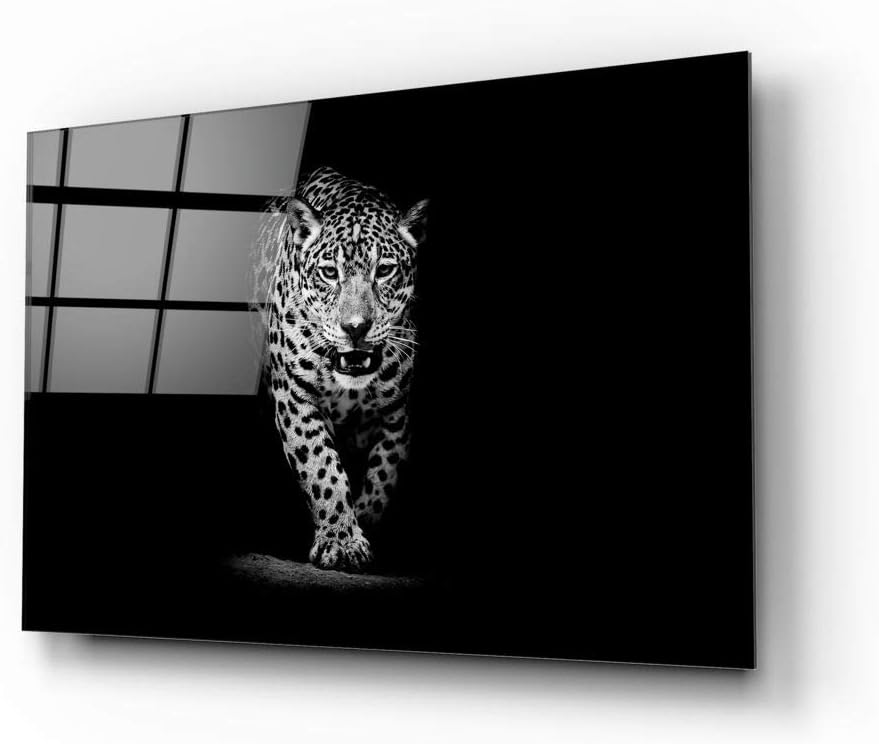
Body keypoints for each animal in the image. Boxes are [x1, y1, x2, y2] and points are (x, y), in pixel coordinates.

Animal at [250, 166, 428, 572]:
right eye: (330, 273)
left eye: (385, 270)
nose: (355, 327)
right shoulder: (296, 398)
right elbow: (322, 467)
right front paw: (341, 540)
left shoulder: (397, 414)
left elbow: (383, 477)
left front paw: (364, 528)